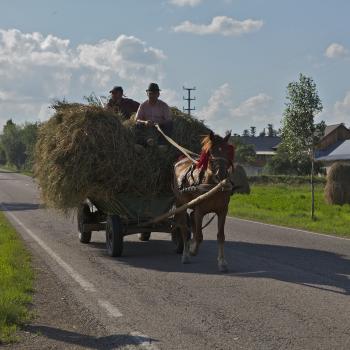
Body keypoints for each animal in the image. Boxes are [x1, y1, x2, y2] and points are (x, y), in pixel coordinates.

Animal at [173, 133, 234, 272]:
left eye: (228, 152)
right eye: (211, 152)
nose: (221, 174)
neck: (213, 185)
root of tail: (180, 161)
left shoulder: (222, 211)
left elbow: (221, 236)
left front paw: (222, 262)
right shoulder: (200, 211)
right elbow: (199, 236)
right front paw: (192, 250)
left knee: (190, 221)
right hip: (181, 204)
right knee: (184, 229)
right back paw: (185, 255)